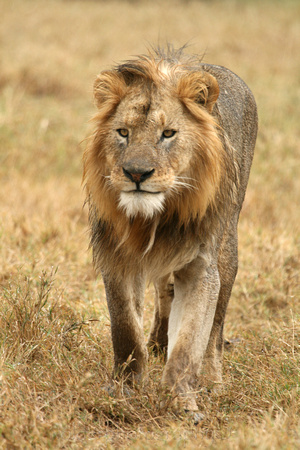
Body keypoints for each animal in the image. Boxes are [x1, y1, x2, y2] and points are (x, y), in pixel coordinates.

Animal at [82, 44, 258, 412]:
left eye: (168, 134)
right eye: (123, 132)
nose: (136, 173)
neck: (153, 219)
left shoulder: (201, 266)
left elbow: (190, 340)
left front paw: (182, 402)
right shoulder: (117, 259)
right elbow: (125, 330)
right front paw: (125, 390)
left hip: (227, 251)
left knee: (215, 329)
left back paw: (212, 381)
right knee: (164, 294)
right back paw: (157, 343)